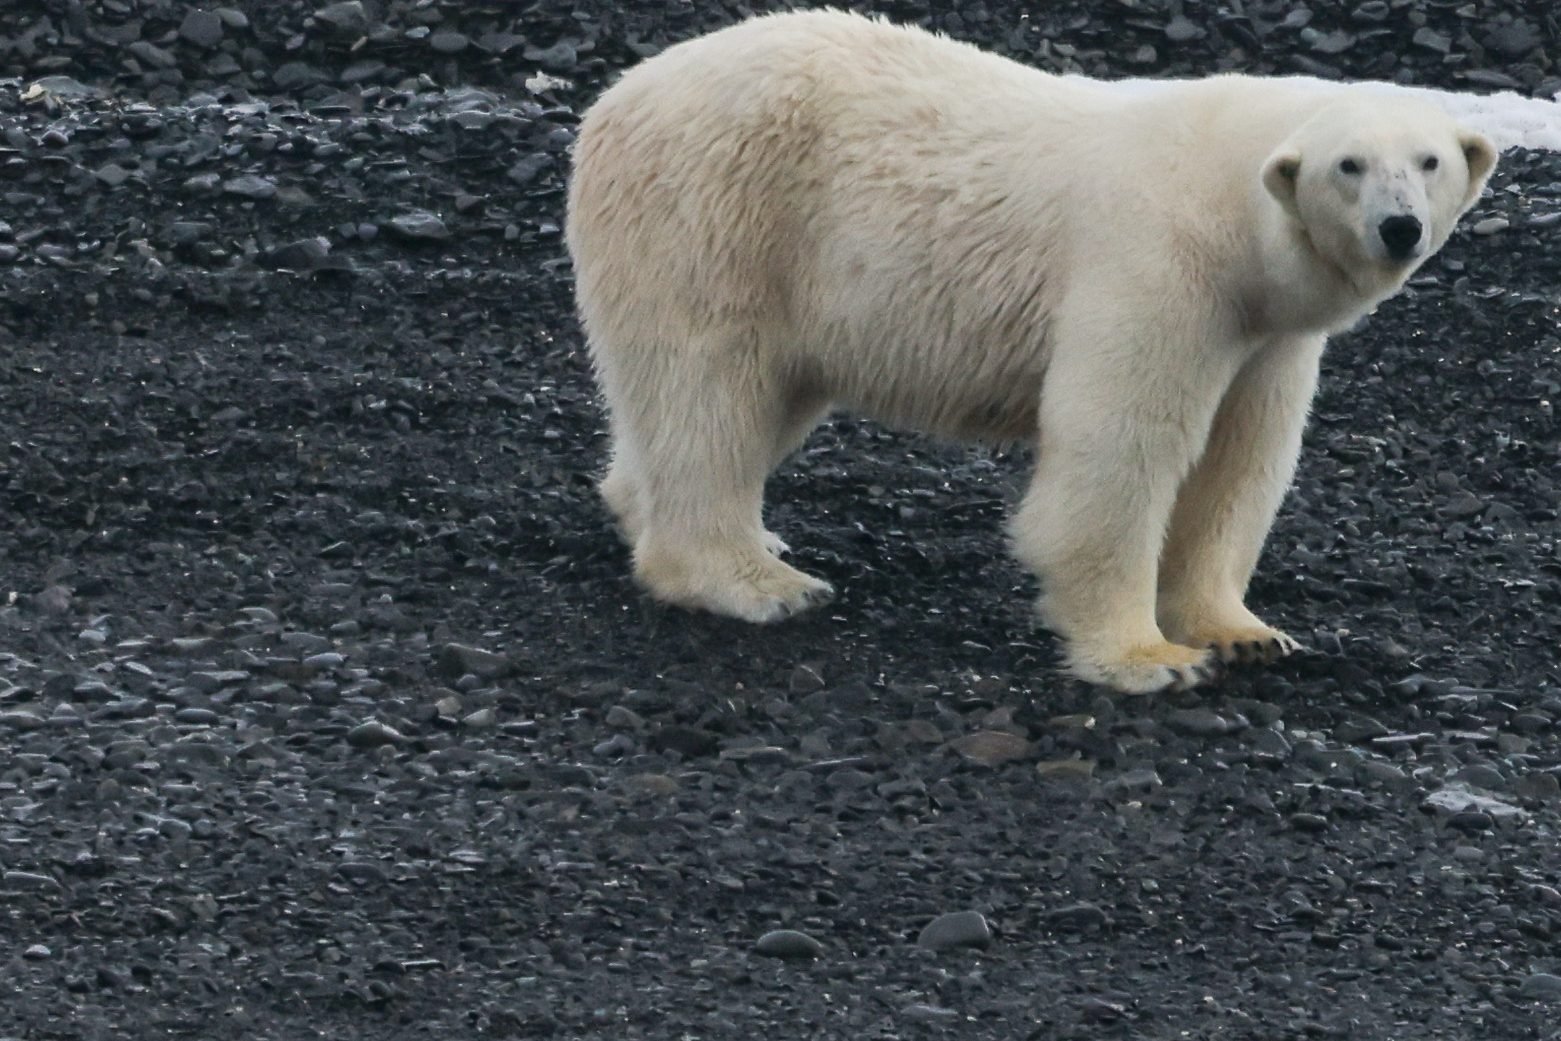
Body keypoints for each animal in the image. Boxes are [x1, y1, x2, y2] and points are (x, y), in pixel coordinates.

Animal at [564, 9, 1497, 694]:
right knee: (709, 389)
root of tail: (617, 95)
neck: (1226, 209)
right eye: (1348, 165)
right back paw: (754, 581)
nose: (1399, 227)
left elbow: (1239, 459)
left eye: (1429, 160)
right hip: (715, 215)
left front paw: (1241, 632)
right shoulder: (1156, 268)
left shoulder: (1264, 332)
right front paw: (1148, 659)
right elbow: (1119, 448)